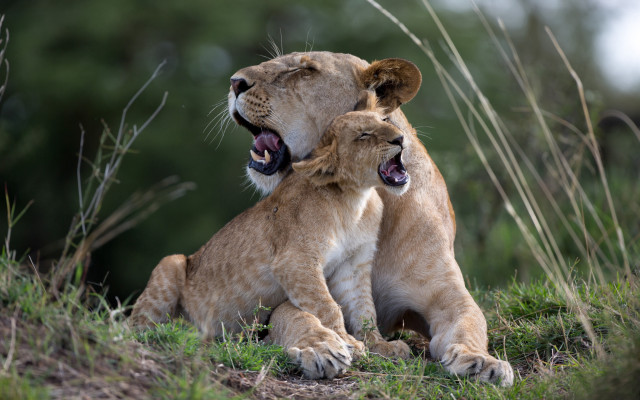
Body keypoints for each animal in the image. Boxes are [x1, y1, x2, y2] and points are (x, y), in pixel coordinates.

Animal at [130, 90, 413, 379]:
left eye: (384, 120)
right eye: (363, 135)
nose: (400, 138)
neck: (355, 199)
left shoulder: (353, 266)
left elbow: (364, 309)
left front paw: (380, 345)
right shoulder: (295, 261)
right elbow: (327, 306)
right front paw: (347, 343)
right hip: (172, 263)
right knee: (138, 325)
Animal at [224, 52, 514, 386]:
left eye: (305, 69)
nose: (234, 82)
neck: (366, 199)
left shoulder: (447, 291)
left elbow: (471, 322)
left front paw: (481, 362)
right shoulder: (289, 284)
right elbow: (299, 315)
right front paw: (321, 347)